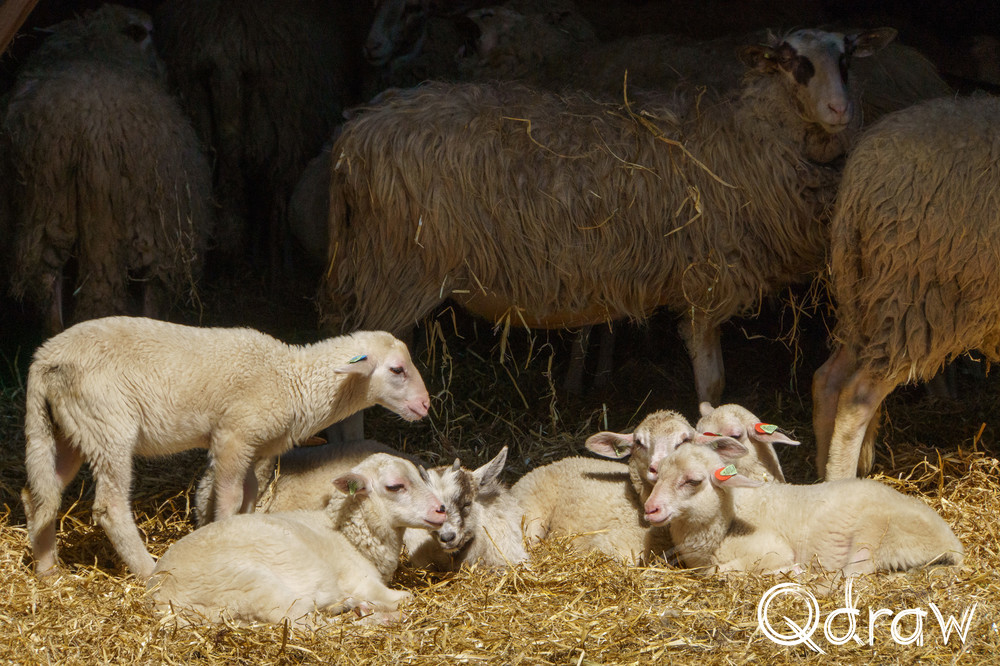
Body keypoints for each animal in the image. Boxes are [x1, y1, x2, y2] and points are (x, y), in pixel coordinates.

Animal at [0, 4, 214, 335]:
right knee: (150, 292)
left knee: (48, 287)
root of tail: (90, 130)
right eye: (147, 32)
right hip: (150, 231)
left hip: (44, 211)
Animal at [21, 316, 430, 580]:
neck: (292, 379)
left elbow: (250, 497)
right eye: (397, 370)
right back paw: (148, 570)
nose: (426, 405)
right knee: (109, 506)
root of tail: (44, 359)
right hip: (109, 424)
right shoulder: (233, 436)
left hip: (66, 428)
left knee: (40, 495)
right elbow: (230, 499)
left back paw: (47, 571)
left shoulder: (256, 448)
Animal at [147, 453, 447, 626]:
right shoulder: (363, 582)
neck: (347, 536)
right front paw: (391, 607)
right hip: (259, 590)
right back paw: (378, 616)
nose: (441, 510)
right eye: (395, 486)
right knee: (310, 626)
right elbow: (406, 597)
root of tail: (164, 597)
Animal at [322, 28, 896, 406]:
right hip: (394, 269)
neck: (745, 136)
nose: (841, 110)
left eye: (848, 59)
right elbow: (711, 382)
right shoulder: (706, 280)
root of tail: (356, 132)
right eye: (793, 62)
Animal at [642, 439, 964, 574]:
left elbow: (717, 572)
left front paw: (789, 571)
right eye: (657, 473)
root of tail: (954, 544)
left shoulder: (771, 549)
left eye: (693, 481)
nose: (650, 509)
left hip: (876, 533)